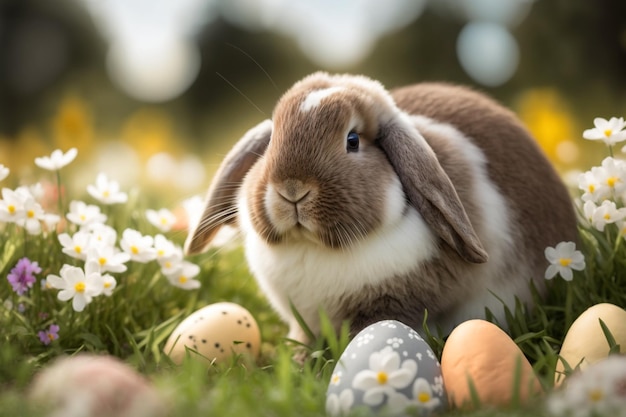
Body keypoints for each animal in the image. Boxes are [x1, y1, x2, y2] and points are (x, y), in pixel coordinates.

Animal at [184, 72, 576, 344]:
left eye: (353, 140)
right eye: (271, 142)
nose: (292, 190)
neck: (316, 249)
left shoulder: (393, 304)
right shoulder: (302, 319)